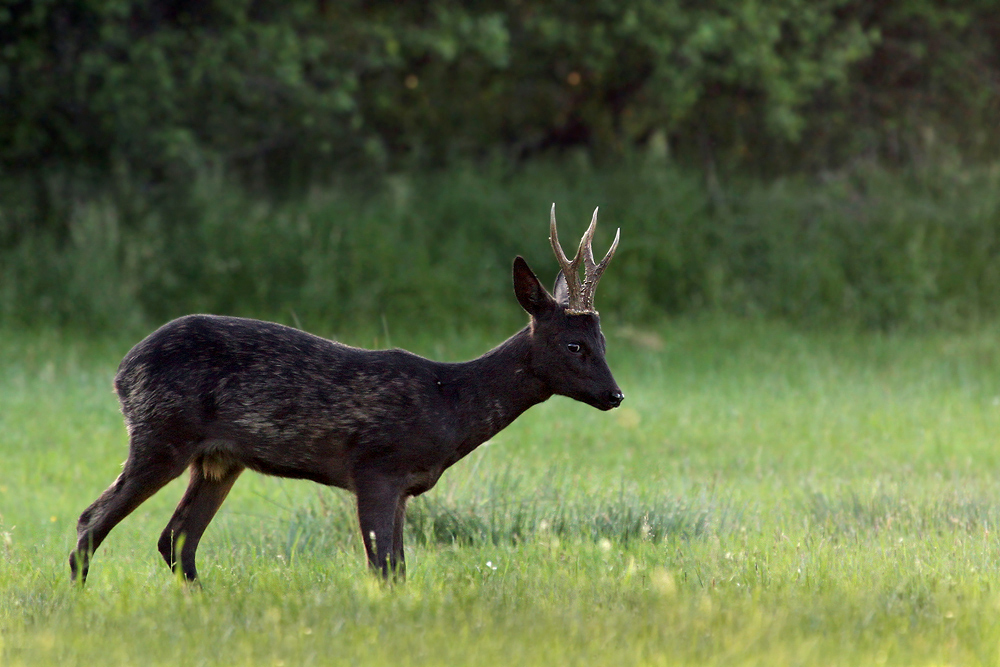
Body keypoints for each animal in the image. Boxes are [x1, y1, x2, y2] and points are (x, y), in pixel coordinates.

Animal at [72, 205, 624, 584]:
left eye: (604, 340)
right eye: (573, 345)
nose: (616, 395)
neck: (448, 405)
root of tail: (121, 372)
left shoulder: (403, 487)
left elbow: (398, 569)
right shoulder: (376, 467)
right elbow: (383, 569)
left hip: (219, 460)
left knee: (176, 540)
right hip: (161, 432)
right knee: (92, 520)